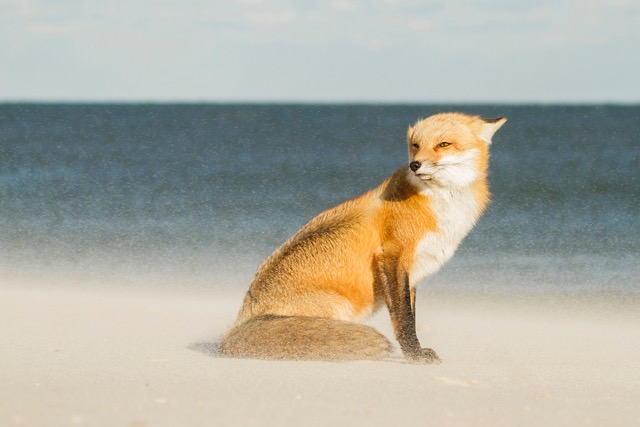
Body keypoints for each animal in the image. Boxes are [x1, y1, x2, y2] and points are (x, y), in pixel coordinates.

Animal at [218, 112, 508, 362]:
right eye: (415, 146)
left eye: (443, 144)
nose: (414, 165)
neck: (439, 203)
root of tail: (238, 323)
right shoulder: (393, 255)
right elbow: (404, 319)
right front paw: (414, 356)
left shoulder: (413, 268)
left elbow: (409, 314)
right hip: (339, 306)